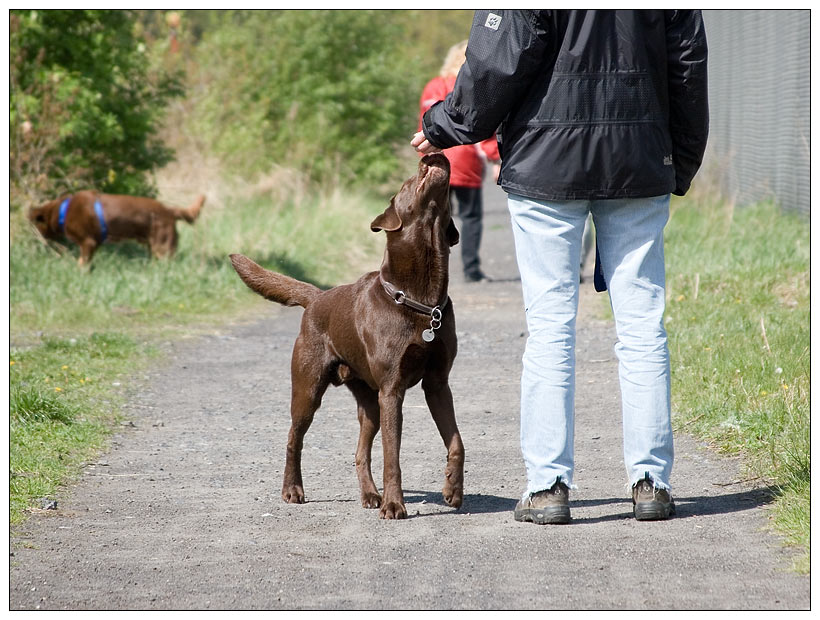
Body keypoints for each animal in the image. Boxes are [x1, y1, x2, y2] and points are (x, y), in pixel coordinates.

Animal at [30, 190, 207, 266]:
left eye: (37, 226)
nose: (40, 240)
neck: (63, 211)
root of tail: (170, 211)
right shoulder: (94, 244)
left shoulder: (88, 242)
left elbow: (82, 262)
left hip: (162, 246)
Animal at [231, 154, 464, 520]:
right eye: (408, 182)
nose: (431, 154)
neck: (420, 301)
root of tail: (316, 297)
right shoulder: (392, 390)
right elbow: (392, 456)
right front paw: (394, 505)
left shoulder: (438, 384)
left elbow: (456, 442)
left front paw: (452, 490)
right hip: (309, 388)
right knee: (293, 437)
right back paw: (292, 490)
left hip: (368, 401)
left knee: (360, 451)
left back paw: (370, 495)